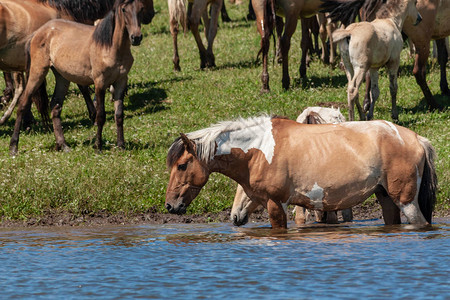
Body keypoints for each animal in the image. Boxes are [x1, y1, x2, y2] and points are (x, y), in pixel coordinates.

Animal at [8, 0, 144, 155]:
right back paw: (13, 147)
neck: (110, 47)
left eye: (141, 8)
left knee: (55, 107)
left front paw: (121, 145)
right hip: (37, 73)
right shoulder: (100, 83)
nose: (136, 37)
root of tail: (38, 32)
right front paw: (98, 146)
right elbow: (100, 115)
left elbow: (119, 115)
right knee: (23, 104)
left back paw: (63, 145)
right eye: (124, 9)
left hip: (62, 78)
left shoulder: (121, 82)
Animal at [165, 116, 436, 229]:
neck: (260, 149)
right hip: (386, 198)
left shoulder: (276, 204)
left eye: (182, 165)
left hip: (406, 202)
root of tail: (417, 139)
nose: (169, 205)